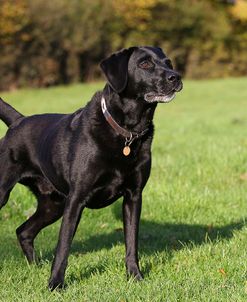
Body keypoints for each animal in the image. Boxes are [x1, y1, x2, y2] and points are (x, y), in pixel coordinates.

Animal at [0, 46, 181, 290]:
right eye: (144, 64)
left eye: (168, 62)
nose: (176, 77)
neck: (126, 132)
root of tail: (18, 121)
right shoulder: (76, 199)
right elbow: (63, 247)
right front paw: (55, 284)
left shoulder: (134, 196)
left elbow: (131, 243)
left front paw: (135, 277)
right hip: (7, 193)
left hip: (53, 204)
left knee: (24, 231)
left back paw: (35, 267)